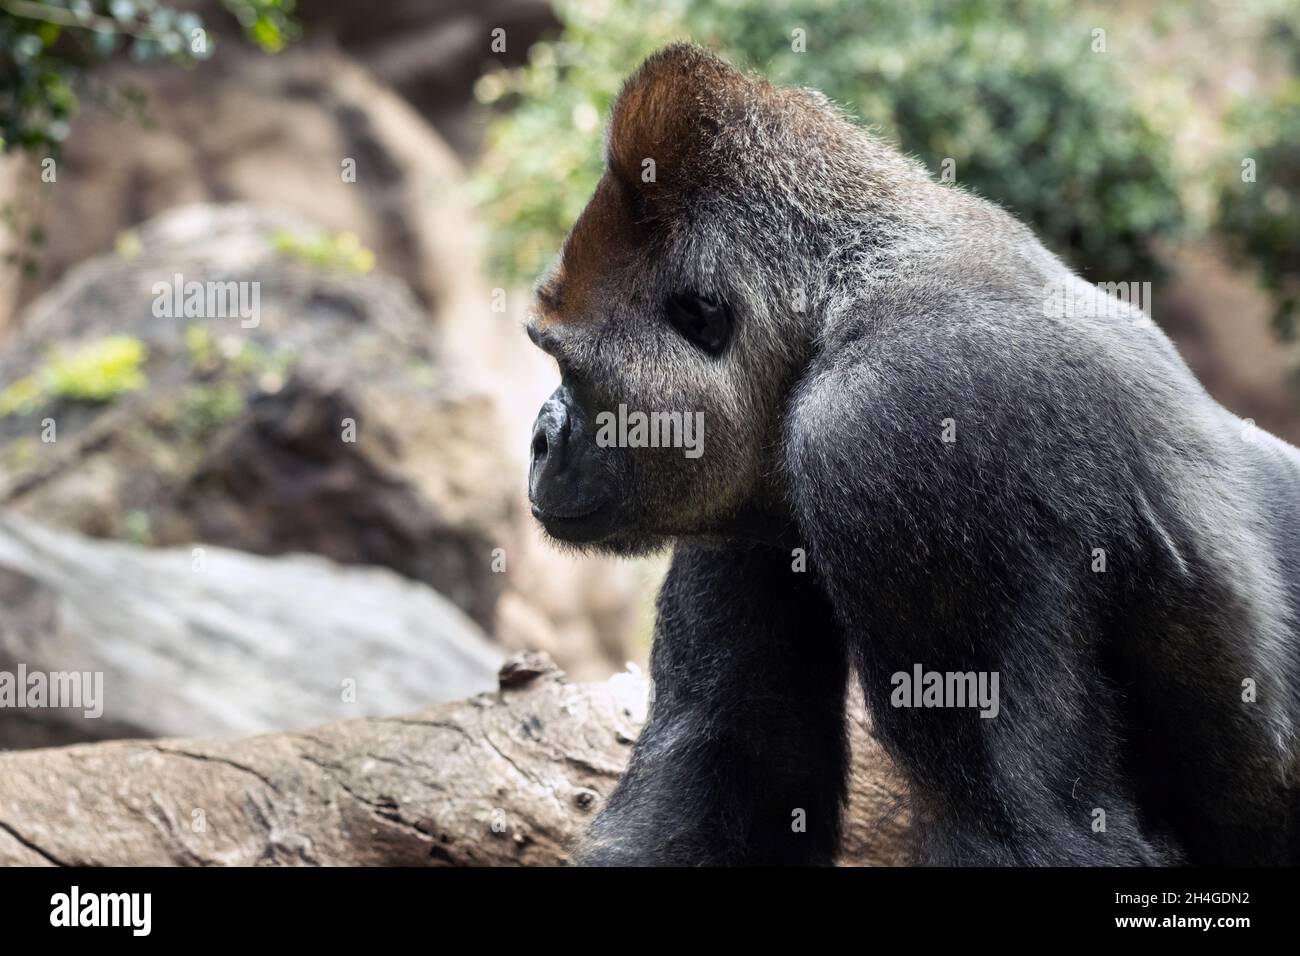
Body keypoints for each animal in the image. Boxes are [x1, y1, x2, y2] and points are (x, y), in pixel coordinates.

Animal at [522, 42, 1294, 868]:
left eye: (569, 366)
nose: (539, 438)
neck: (836, 301)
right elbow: (726, 763)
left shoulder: (896, 425)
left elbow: (1028, 827)